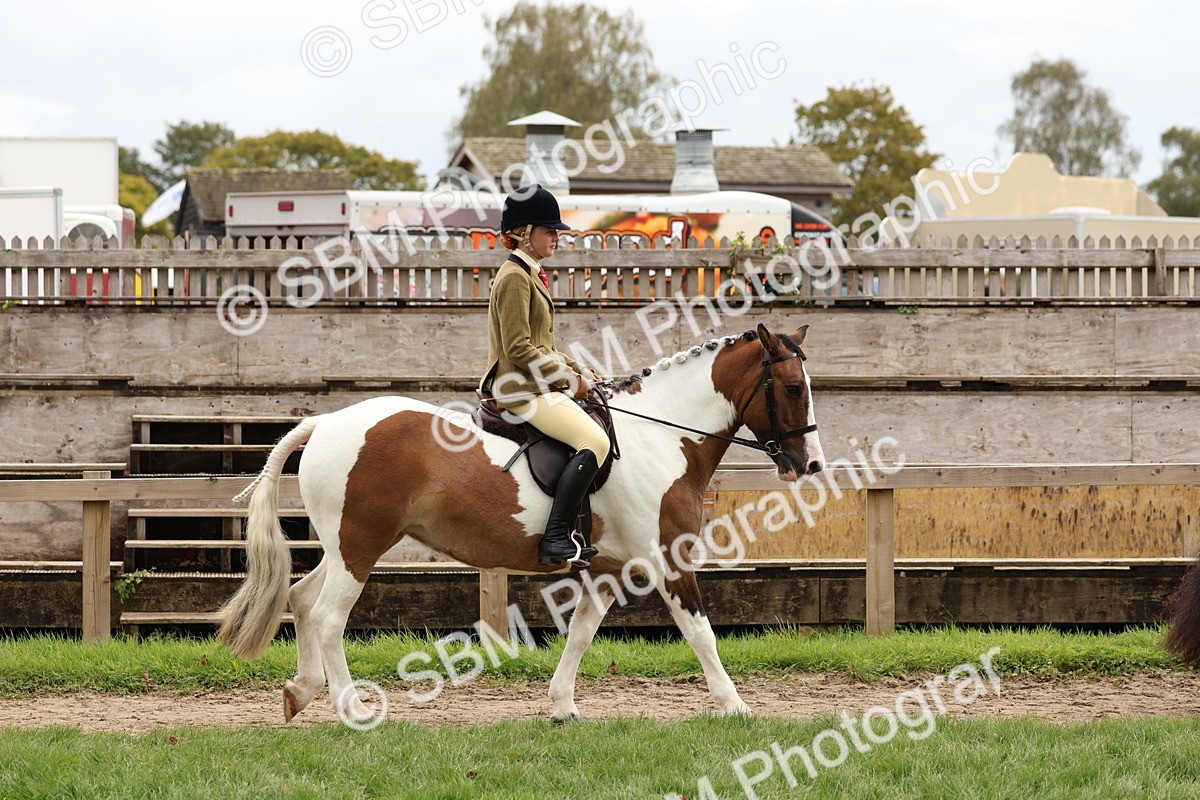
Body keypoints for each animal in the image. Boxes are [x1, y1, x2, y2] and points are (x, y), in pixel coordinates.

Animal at [216, 322, 824, 724]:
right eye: (793, 388)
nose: (810, 464)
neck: (663, 436)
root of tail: (325, 422)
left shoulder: (607, 568)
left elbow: (581, 631)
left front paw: (561, 707)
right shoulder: (666, 560)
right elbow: (700, 632)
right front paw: (735, 705)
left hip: (345, 547)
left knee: (301, 599)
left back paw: (301, 692)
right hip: (360, 547)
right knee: (327, 618)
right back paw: (353, 710)